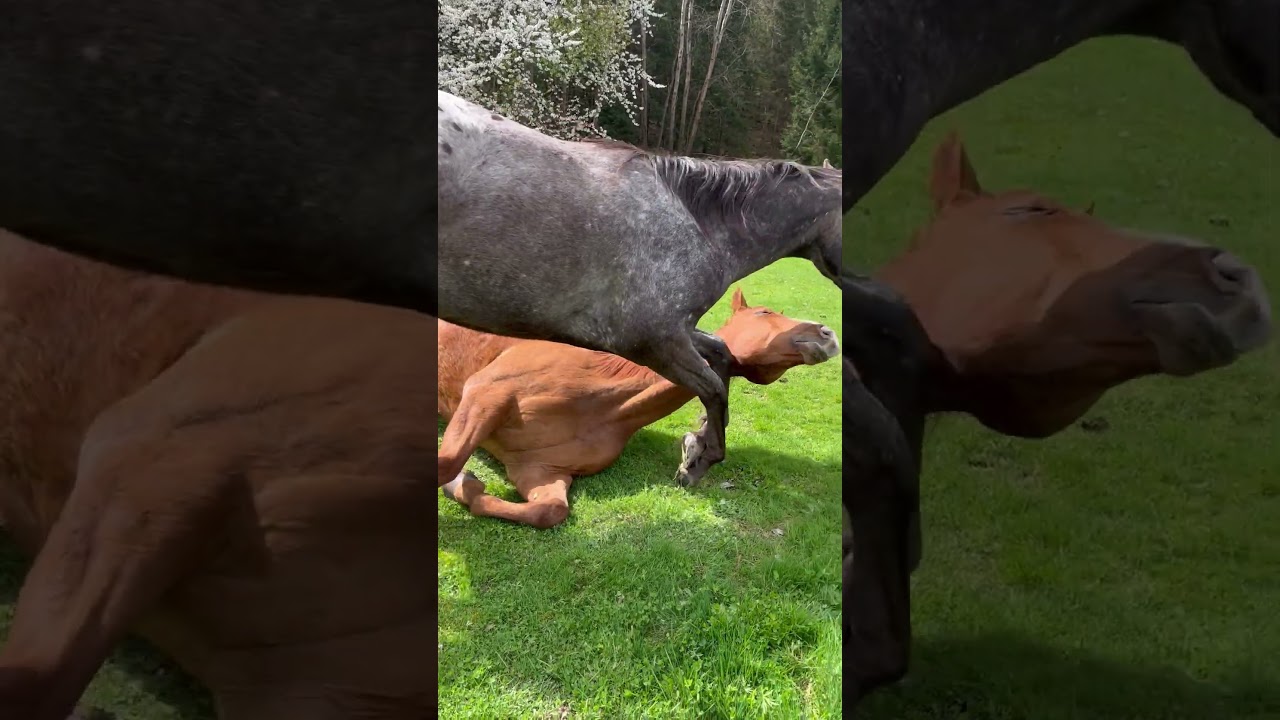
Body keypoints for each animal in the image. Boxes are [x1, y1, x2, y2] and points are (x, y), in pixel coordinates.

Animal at [436, 288, 841, 529]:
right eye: (764, 312)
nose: (828, 333)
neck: (605, 399)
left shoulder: (539, 470)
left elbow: (550, 511)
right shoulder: (485, 393)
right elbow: (447, 462)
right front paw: (461, 481)